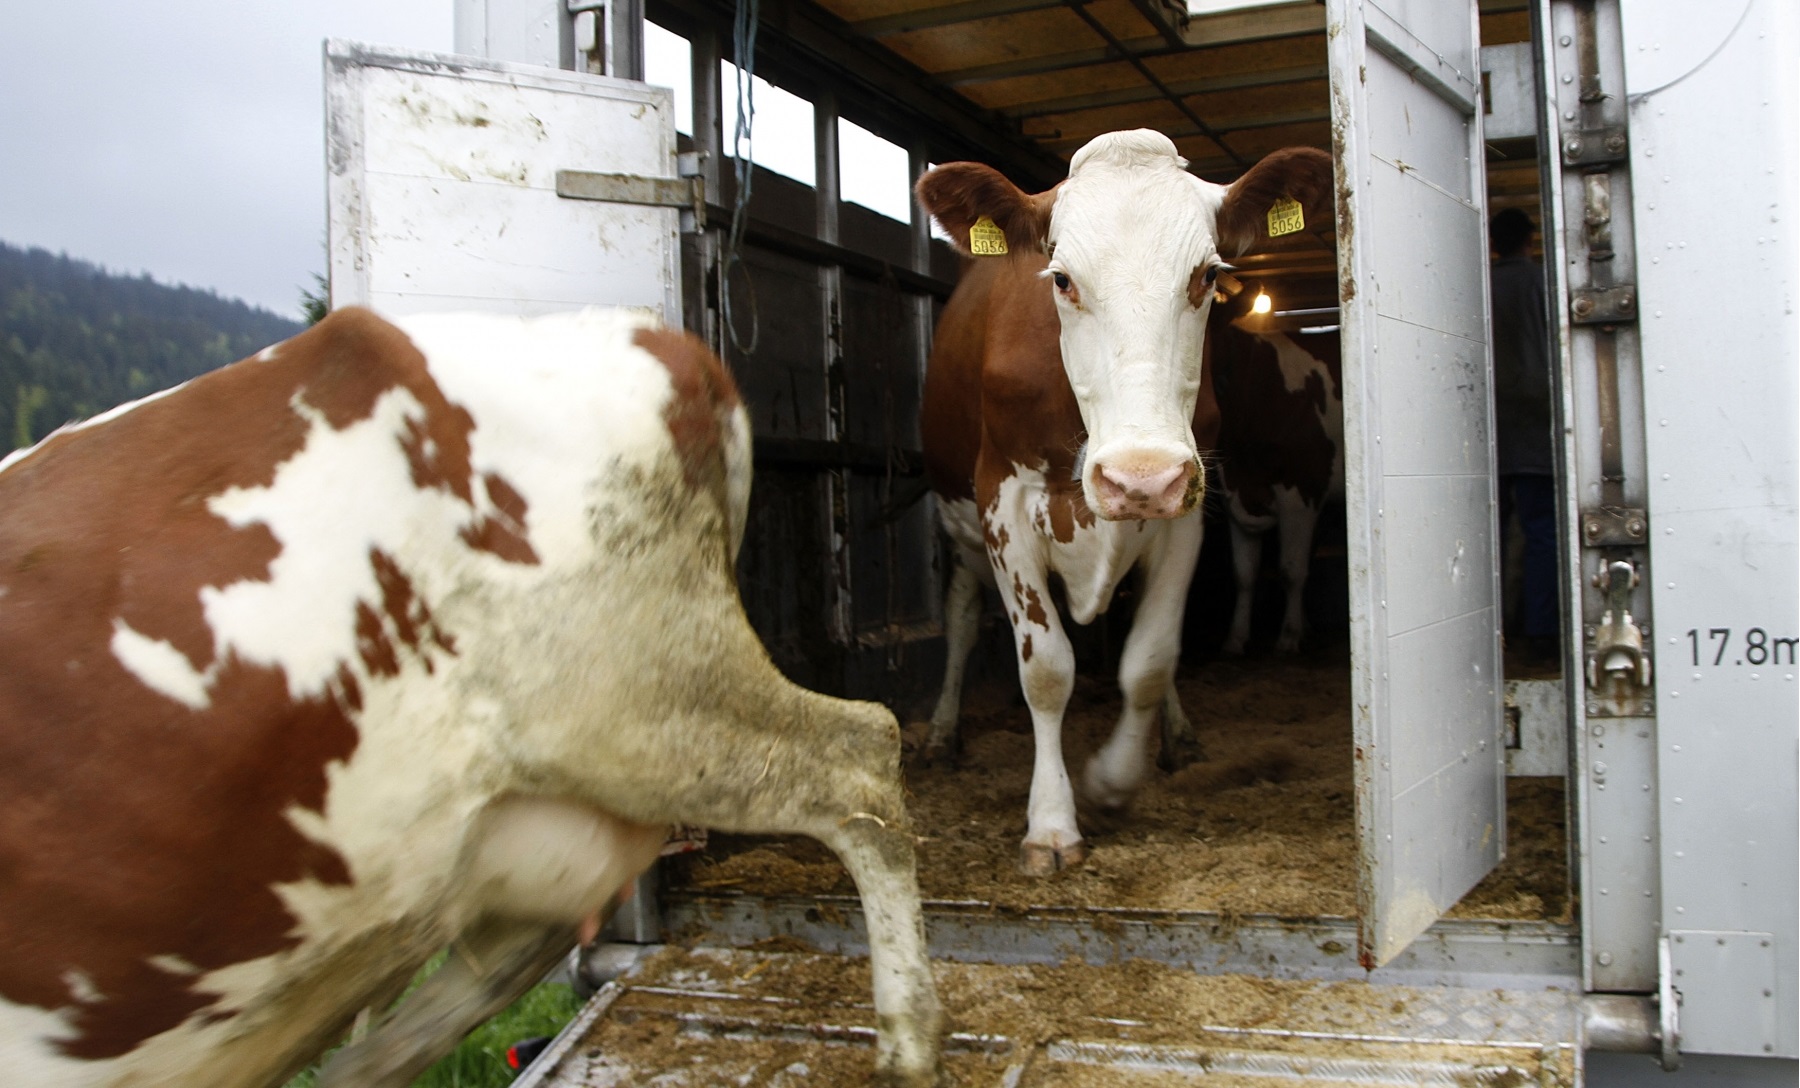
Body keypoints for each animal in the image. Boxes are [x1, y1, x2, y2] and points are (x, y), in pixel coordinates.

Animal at [921, 129, 1332, 875]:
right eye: (1061, 278)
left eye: (1206, 276)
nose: (1140, 476)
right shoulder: (1003, 505)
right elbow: (1047, 670)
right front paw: (1052, 823)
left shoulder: (1187, 507)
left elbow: (1150, 659)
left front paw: (1113, 781)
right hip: (960, 521)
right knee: (962, 617)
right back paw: (941, 733)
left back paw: (1177, 736)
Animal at [1209, 284, 1353, 655]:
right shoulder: (1235, 489)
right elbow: (1244, 573)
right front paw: (1236, 638)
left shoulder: (1301, 490)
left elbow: (1291, 569)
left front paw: (1289, 637)